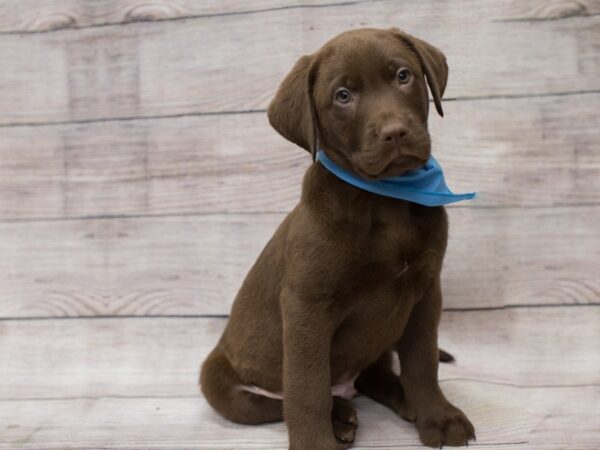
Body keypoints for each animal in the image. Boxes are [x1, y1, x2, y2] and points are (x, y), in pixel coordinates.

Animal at [203, 29, 478, 450]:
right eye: (343, 96)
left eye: (403, 75)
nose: (395, 132)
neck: (385, 200)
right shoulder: (307, 305)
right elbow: (307, 387)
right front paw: (315, 442)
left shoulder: (426, 290)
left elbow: (422, 362)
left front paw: (438, 416)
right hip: (220, 381)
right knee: (277, 402)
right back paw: (341, 416)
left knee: (375, 374)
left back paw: (400, 401)